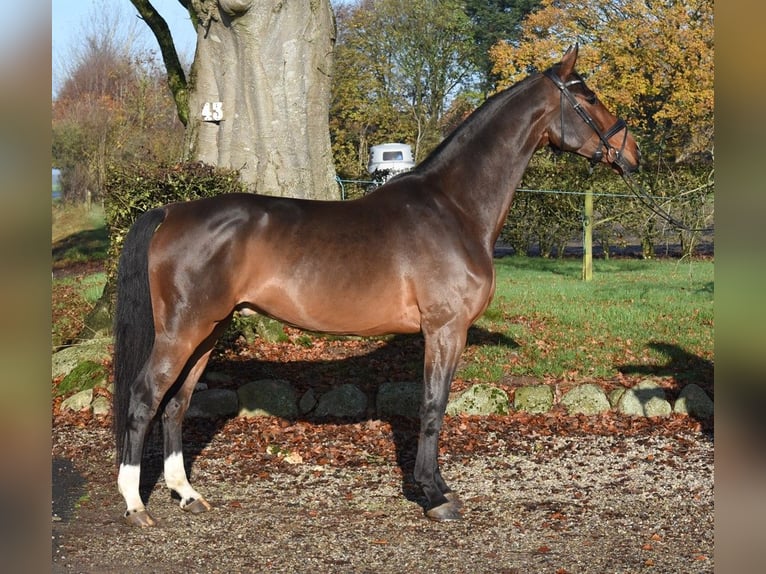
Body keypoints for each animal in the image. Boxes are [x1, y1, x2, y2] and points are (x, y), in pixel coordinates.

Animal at [112, 45, 640, 528]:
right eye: (589, 98)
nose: (632, 153)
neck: (454, 207)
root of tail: (172, 211)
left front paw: (438, 486)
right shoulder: (445, 330)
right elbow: (433, 406)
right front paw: (434, 495)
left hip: (211, 331)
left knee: (176, 403)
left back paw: (186, 493)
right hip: (183, 331)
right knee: (144, 397)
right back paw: (136, 505)